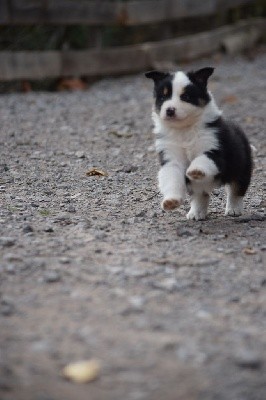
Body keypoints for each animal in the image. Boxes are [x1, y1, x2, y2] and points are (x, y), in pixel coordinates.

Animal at [145, 67, 251, 220]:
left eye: (186, 97)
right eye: (163, 97)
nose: (170, 110)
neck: (184, 130)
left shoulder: (214, 151)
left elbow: (202, 159)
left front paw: (195, 170)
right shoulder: (171, 159)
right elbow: (172, 179)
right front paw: (171, 201)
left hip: (241, 167)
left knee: (236, 190)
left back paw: (233, 209)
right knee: (200, 196)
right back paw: (196, 213)